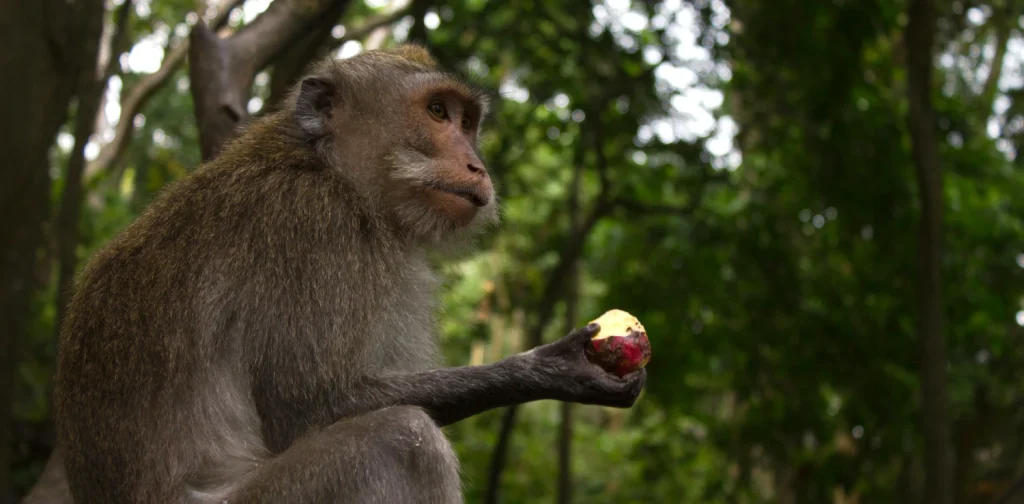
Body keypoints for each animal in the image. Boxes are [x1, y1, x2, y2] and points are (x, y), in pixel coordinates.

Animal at [53, 44, 646, 504]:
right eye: (437, 111)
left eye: (467, 122)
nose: (478, 166)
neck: (329, 168)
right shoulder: (311, 227)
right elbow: (308, 407)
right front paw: (545, 369)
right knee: (400, 441)